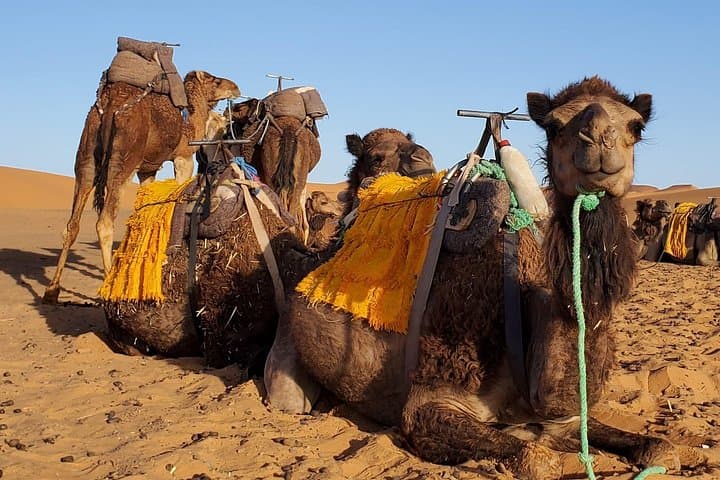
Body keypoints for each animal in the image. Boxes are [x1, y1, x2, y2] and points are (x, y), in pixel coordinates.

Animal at [43, 71, 240, 304]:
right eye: (215, 80)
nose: (235, 87)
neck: (192, 117)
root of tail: (109, 103)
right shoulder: (183, 157)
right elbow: (178, 192)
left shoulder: (147, 170)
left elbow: (146, 209)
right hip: (124, 157)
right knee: (104, 222)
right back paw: (109, 288)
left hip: (87, 155)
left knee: (72, 224)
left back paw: (52, 290)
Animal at [273, 77, 682, 479]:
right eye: (553, 125)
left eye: (636, 126)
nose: (598, 141)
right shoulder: (432, 398)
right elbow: (537, 459)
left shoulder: (565, 417)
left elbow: (659, 447)